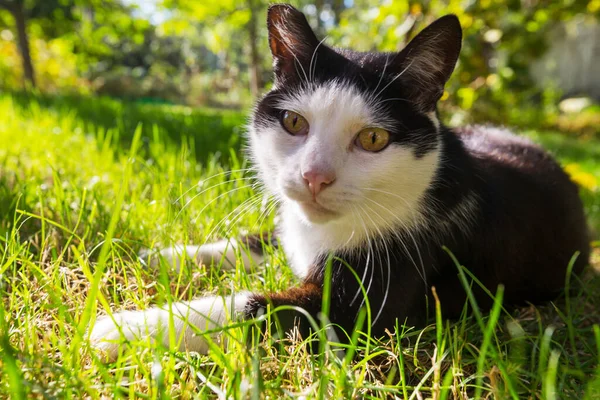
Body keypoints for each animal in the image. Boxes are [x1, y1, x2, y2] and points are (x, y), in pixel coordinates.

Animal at [89, 2, 592, 360]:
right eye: (293, 123)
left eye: (373, 138)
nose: (314, 177)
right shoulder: (292, 225)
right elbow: (259, 240)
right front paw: (162, 256)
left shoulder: (379, 289)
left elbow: (261, 308)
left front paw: (126, 328)